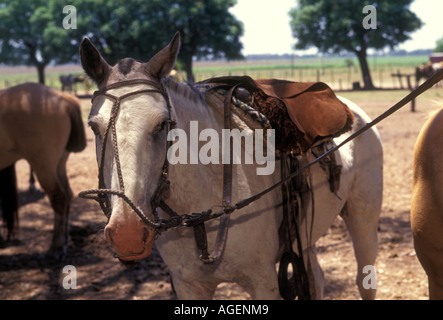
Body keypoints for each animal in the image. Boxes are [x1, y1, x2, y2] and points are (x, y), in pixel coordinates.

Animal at [0, 84, 86, 254]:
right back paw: (65, 240)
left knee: (59, 197)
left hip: (44, 166)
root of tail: (63, 98)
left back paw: (57, 246)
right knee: (68, 194)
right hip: (59, 165)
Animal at [78, 33, 384, 298]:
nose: (126, 234)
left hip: (364, 221)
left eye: (162, 124)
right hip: (304, 239)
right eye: (94, 126)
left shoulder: (263, 281)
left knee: (364, 280)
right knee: (316, 279)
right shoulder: (189, 286)